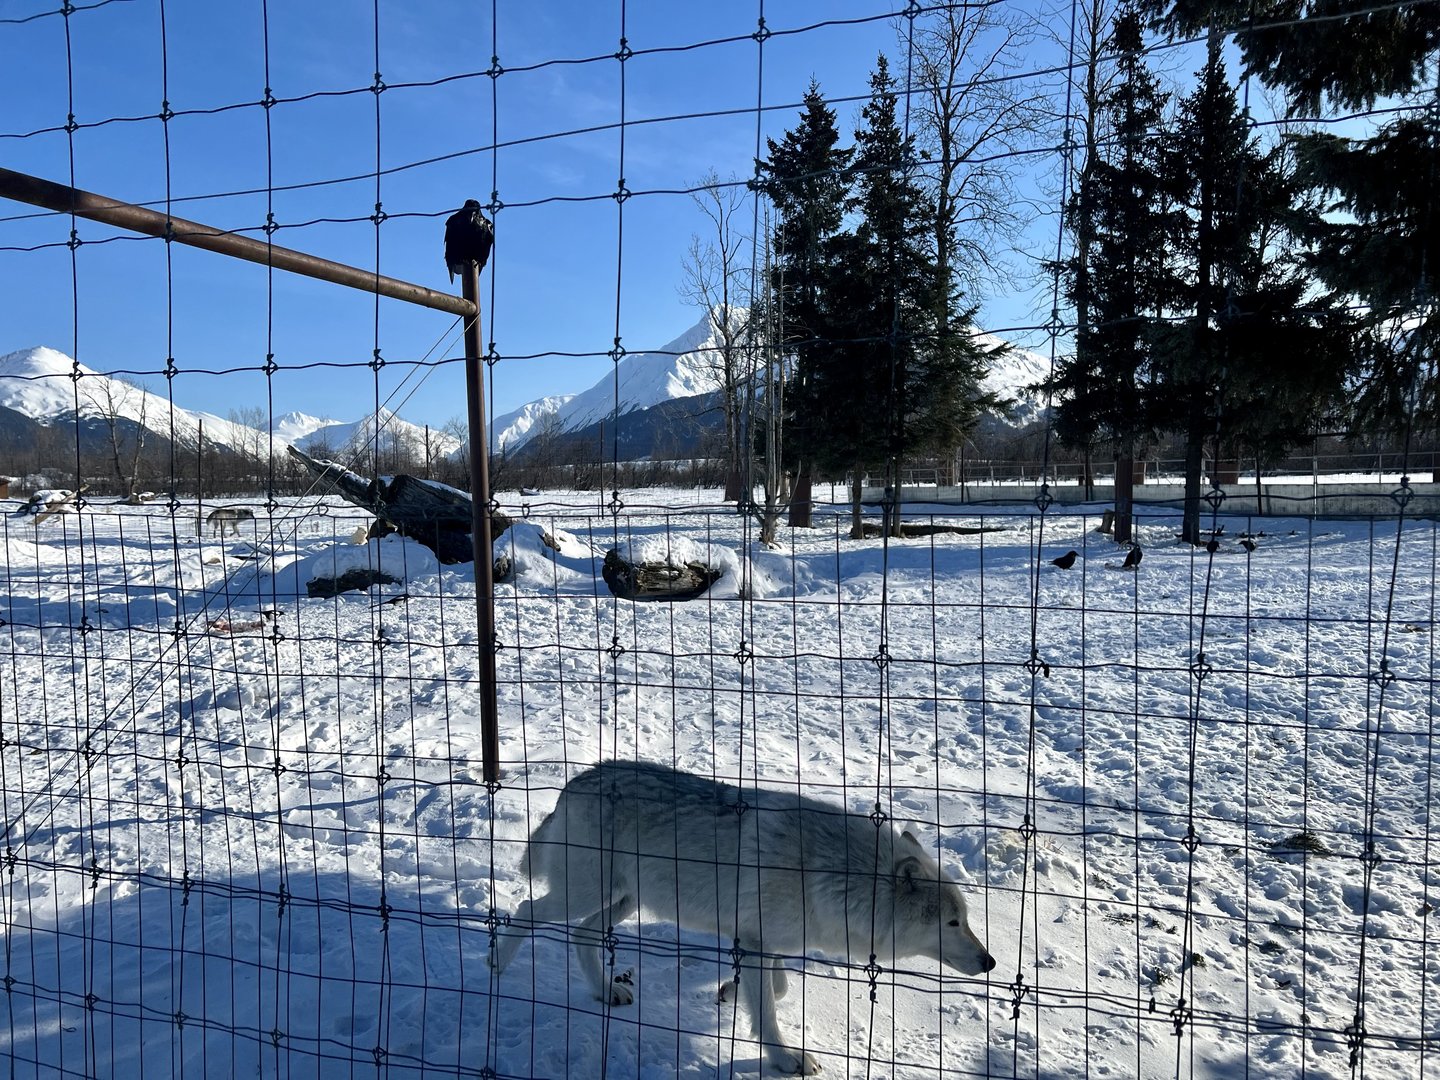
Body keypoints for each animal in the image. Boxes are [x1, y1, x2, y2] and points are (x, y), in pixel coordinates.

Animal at [489, 760, 995, 1075]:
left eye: (967, 918)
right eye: (953, 924)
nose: (990, 962)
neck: (831, 873)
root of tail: (575, 781)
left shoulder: (763, 942)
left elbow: (778, 987)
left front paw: (731, 992)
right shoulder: (756, 942)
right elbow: (770, 1009)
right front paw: (786, 1060)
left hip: (623, 900)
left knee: (581, 936)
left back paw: (605, 991)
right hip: (586, 893)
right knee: (527, 910)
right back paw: (496, 963)